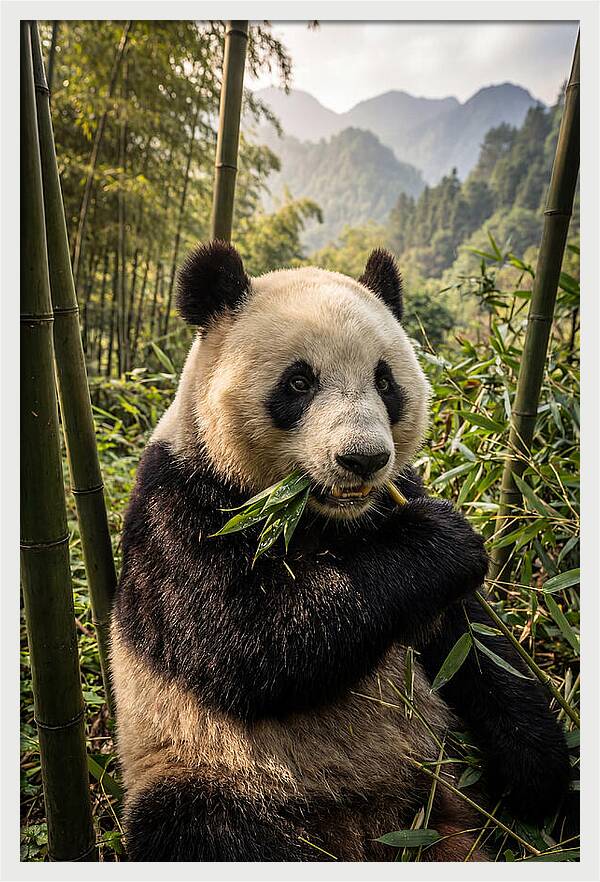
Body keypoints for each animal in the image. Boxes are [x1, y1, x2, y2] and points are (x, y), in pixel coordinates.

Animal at [110, 241, 570, 862]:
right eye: (299, 383)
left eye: (385, 382)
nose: (363, 459)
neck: (319, 515)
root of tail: (372, 828)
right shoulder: (181, 503)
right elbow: (244, 640)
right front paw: (442, 542)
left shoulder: (396, 501)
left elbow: (475, 645)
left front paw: (538, 772)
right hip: (210, 767)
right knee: (202, 828)